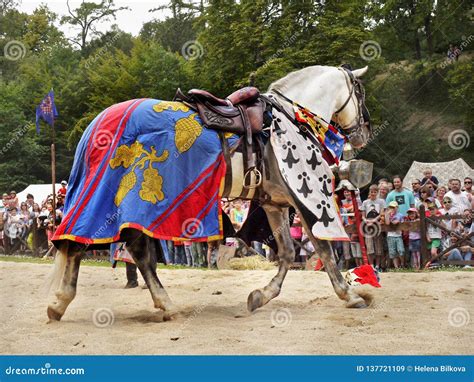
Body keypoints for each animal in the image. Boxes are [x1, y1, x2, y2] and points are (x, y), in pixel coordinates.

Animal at [49, 64, 374, 320]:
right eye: (360, 93)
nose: (364, 134)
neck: (290, 119)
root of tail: (95, 126)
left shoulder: (275, 204)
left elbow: (286, 252)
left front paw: (261, 295)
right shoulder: (303, 199)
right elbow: (324, 249)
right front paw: (350, 295)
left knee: (119, 250)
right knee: (96, 246)